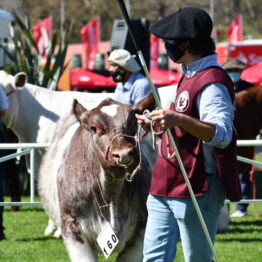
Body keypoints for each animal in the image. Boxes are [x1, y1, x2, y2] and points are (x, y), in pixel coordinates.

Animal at [37, 93, 157, 260]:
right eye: (94, 128)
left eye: (133, 122)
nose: (124, 154)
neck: (110, 194)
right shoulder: (72, 229)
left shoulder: (141, 230)